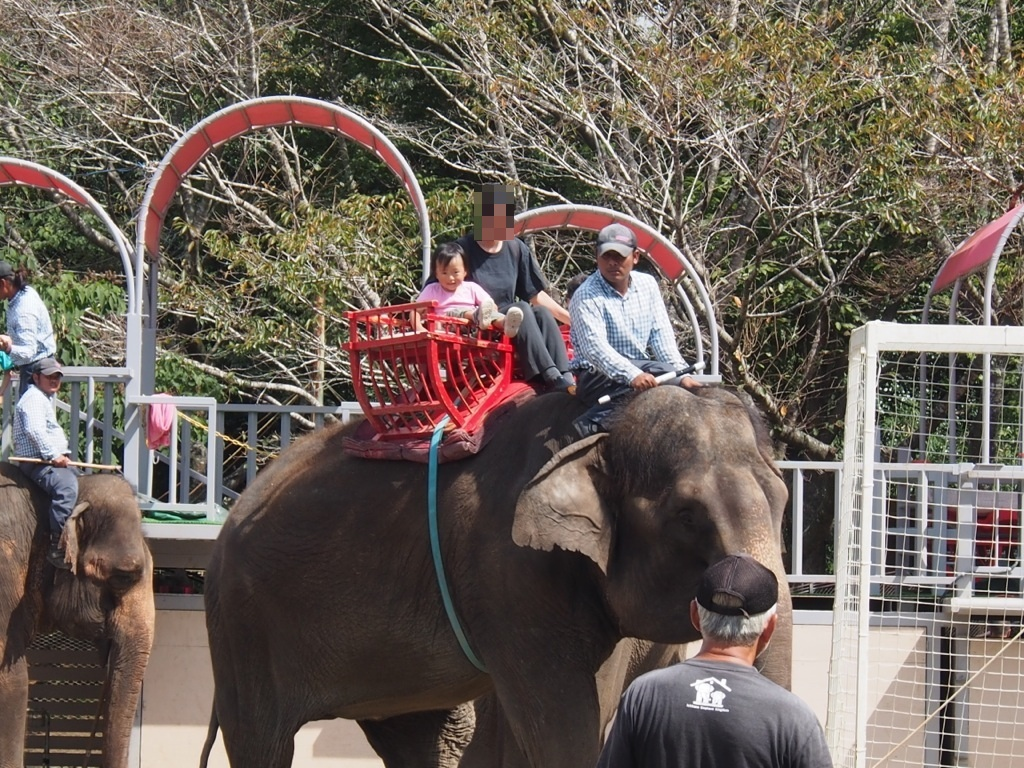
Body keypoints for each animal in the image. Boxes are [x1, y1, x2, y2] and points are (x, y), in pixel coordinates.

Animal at [201, 387, 790, 765]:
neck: (597, 431)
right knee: (261, 743)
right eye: (687, 515)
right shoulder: (508, 574)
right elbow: (566, 727)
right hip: (242, 629)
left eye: (784, 499)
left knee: (425, 742)